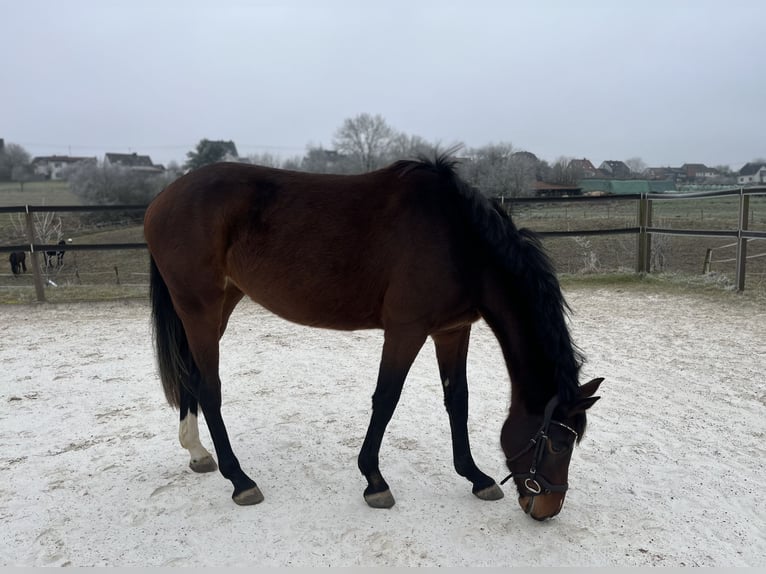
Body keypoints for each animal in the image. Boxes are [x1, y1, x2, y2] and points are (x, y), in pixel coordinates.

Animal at [144, 155, 608, 524]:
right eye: (558, 443)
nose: (547, 509)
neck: (458, 239)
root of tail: (161, 199)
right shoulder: (406, 329)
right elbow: (386, 398)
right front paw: (374, 480)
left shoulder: (451, 331)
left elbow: (457, 400)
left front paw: (476, 476)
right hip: (200, 308)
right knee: (210, 388)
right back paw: (239, 480)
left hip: (219, 305)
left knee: (190, 376)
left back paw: (197, 453)